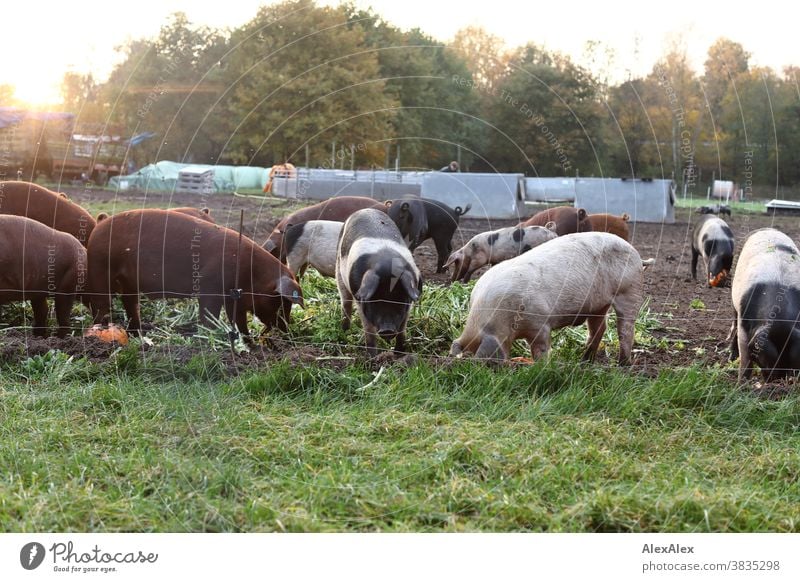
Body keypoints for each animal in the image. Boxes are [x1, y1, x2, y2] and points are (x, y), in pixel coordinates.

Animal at [86, 210, 302, 342]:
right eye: (280, 302)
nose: (288, 330)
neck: (253, 273)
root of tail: (98, 226)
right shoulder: (210, 289)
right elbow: (208, 315)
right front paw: (209, 336)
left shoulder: (235, 298)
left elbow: (239, 320)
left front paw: (249, 342)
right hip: (99, 269)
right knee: (101, 304)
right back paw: (98, 331)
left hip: (128, 282)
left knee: (130, 303)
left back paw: (137, 334)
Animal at [336, 208, 424, 358]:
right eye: (374, 300)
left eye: (400, 299)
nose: (387, 330)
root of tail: (365, 210)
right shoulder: (361, 301)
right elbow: (369, 332)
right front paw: (372, 358)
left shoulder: (409, 304)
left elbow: (402, 330)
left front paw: (399, 355)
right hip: (339, 272)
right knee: (346, 304)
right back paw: (344, 333)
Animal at [450, 233, 648, 364]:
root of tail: (635, 252)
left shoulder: (540, 323)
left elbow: (540, 348)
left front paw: (541, 365)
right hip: (597, 306)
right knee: (599, 328)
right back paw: (585, 361)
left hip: (629, 290)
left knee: (625, 329)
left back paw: (622, 364)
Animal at [732, 228, 800, 384]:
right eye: (768, 363)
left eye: (791, 363)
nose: (778, 381)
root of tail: (769, 229)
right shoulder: (744, 323)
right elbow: (745, 359)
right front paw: (740, 384)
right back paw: (732, 357)